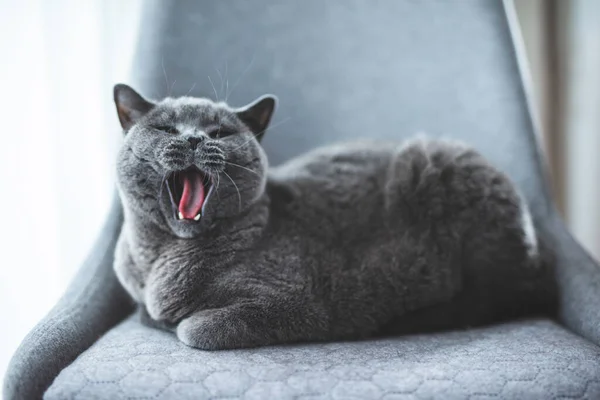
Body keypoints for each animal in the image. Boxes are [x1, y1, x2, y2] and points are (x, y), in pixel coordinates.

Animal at [111, 83, 552, 350]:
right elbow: (149, 313)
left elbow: (193, 329)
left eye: (220, 133)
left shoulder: (295, 302)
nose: (193, 138)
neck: (162, 260)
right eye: (166, 128)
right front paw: (156, 316)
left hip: (441, 164)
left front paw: (175, 321)